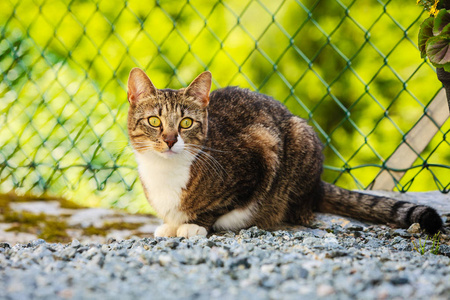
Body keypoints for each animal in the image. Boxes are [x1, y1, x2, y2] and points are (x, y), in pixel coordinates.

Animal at [126, 68, 442, 239]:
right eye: (154, 121)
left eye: (186, 123)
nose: (170, 140)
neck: (165, 173)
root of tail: (318, 184)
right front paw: (171, 224)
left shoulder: (261, 154)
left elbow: (219, 206)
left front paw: (192, 225)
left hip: (302, 137)